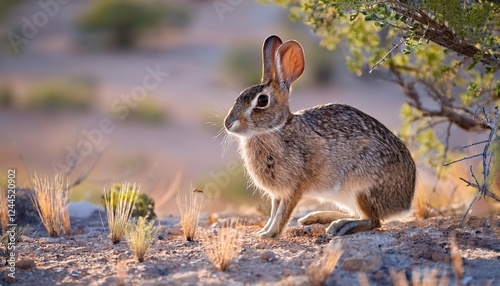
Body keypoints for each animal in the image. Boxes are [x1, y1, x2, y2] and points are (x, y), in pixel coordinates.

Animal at [225, 34, 416, 238]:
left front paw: (270, 235)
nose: (228, 124)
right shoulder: (278, 194)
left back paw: (339, 226)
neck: (276, 129)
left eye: (262, 101)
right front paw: (263, 231)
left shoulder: (294, 188)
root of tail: (404, 203)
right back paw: (316, 218)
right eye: (239, 96)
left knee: (373, 221)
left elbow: (282, 213)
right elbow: (273, 212)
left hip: (362, 188)